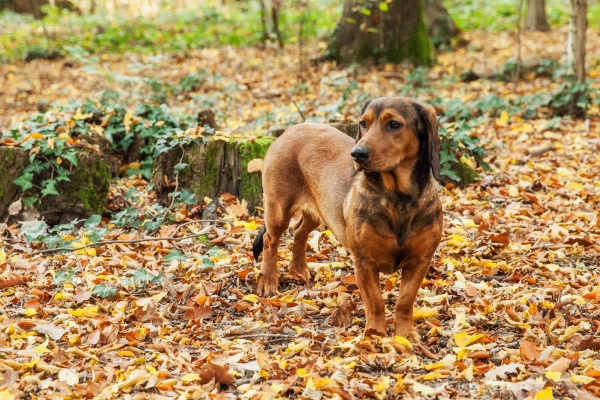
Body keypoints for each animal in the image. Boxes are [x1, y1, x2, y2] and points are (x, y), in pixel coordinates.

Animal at [251, 97, 442, 344]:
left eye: (394, 124)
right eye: (363, 123)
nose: (358, 153)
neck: (397, 198)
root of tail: (291, 129)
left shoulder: (420, 261)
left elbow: (405, 301)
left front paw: (405, 334)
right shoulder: (364, 262)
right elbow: (376, 302)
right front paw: (375, 335)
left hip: (319, 211)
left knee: (300, 231)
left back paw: (299, 269)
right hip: (278, 209)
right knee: (270, 240)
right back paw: (268, 281)